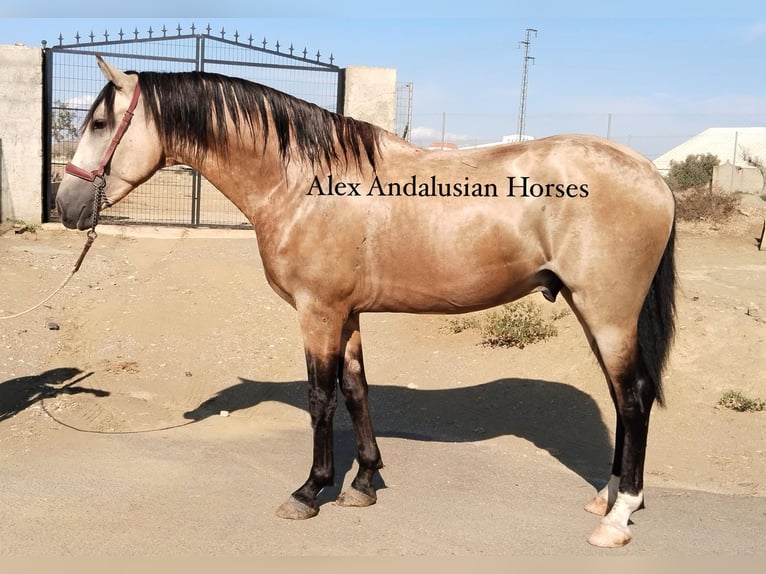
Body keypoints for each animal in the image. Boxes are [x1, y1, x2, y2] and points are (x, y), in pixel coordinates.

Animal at [55, 57, 680, 548]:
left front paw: (310, 490)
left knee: (633, 398)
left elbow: (321, 398)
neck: (304, 182)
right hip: (592, 309)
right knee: (622, 397)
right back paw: (606, 498)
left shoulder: (318, 312)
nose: (66, 205)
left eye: (101, 122)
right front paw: (363, 483)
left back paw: (618, 516)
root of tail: (651, 174)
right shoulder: (348, 314)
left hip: (608, 312)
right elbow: (356, 390)